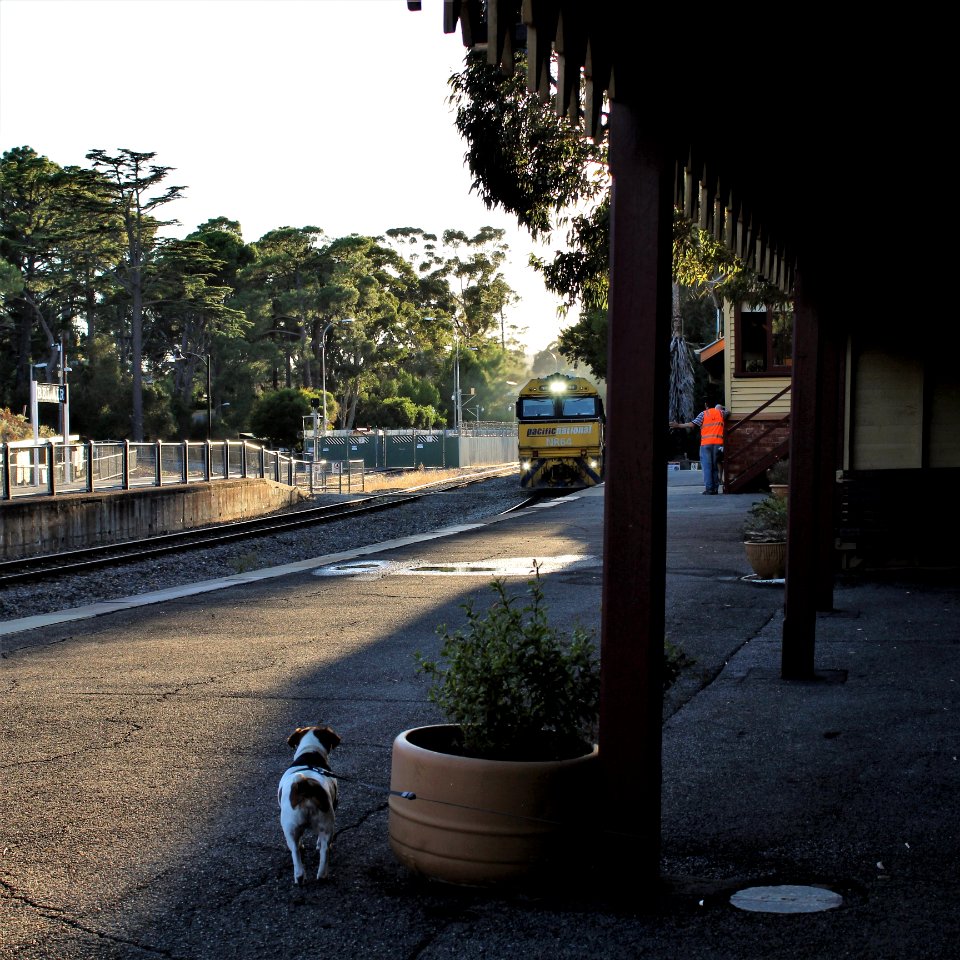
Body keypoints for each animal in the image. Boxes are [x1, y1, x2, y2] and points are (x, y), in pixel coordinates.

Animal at [278, 728, 342, 884]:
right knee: (324, 849)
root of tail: (304, 784)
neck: (310, 753)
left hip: (290, 827)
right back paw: (320, 875)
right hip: (325, 823)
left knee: (296, 851)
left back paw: (301, 875)